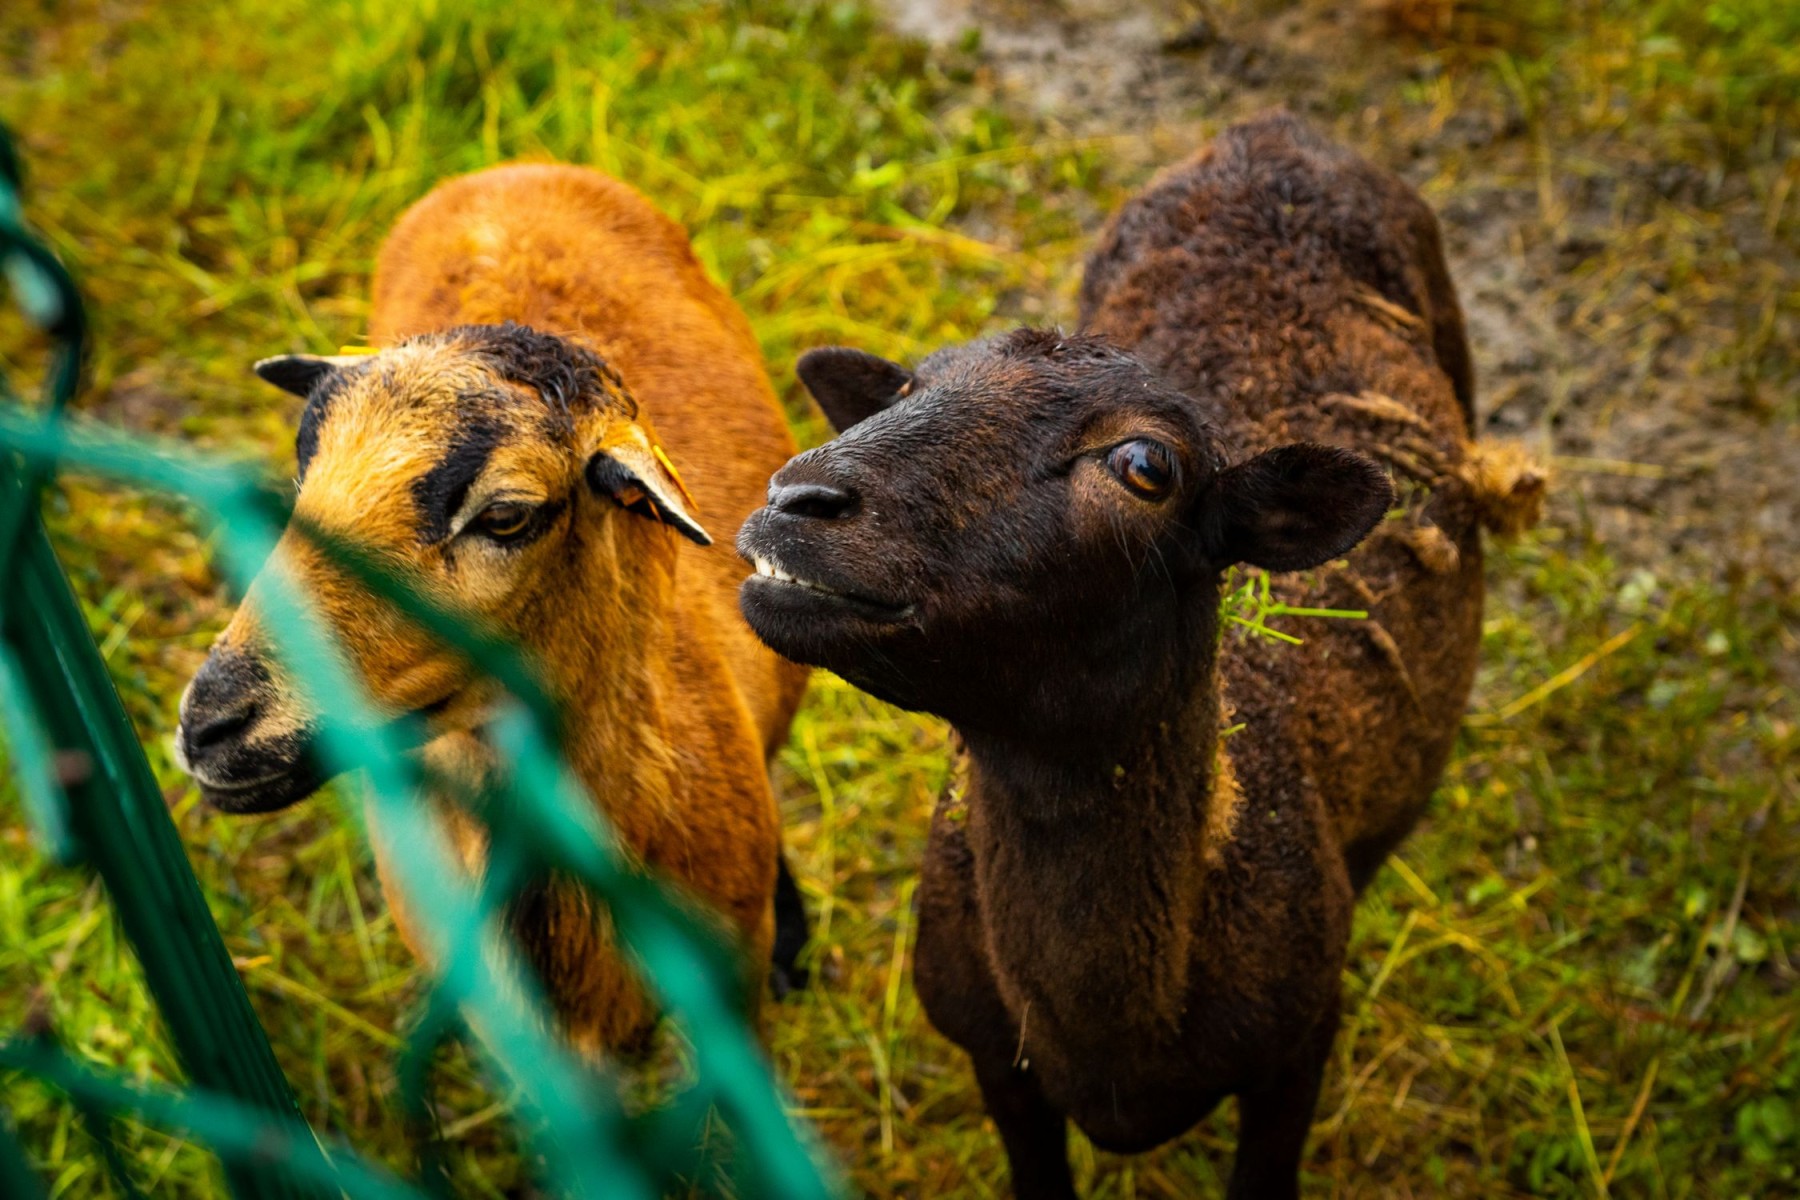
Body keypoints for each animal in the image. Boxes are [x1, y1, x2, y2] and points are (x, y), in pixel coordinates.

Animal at [738, 110, 1540, 1194]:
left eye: (1146, 467)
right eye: (900, 389)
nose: (797, 499)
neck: (1105, 1027)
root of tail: (1273, 131)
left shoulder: (1293, 1056)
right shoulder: (994, 1060)